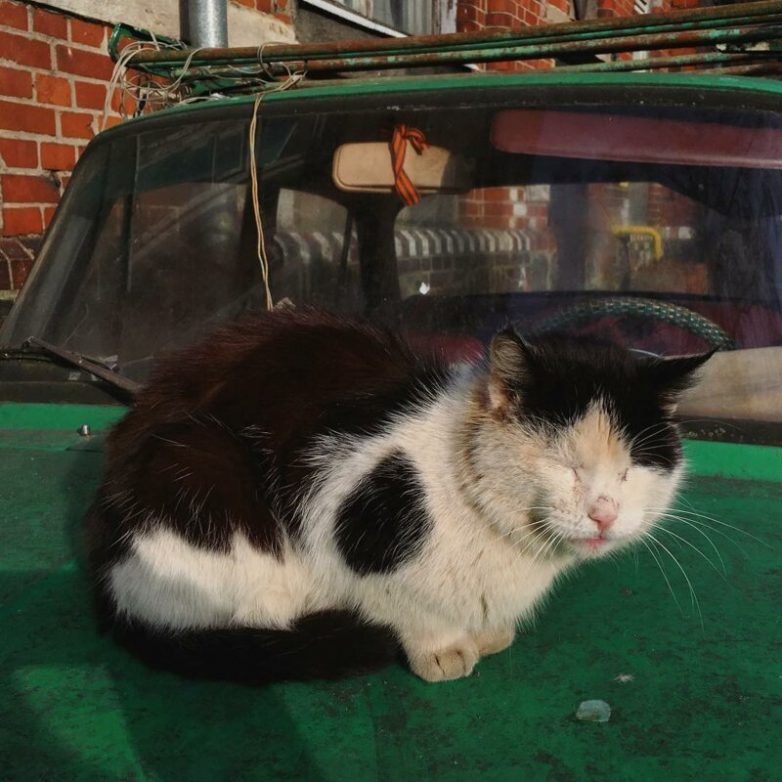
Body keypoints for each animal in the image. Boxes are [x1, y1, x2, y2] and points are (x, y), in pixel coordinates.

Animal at [85, 307, 711, 684]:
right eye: (564, 464)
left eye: (630, 471)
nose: (603, 514)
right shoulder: (340, 501)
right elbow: (400, 601)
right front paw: (441, 647)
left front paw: (489, 634)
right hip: (203, 465)